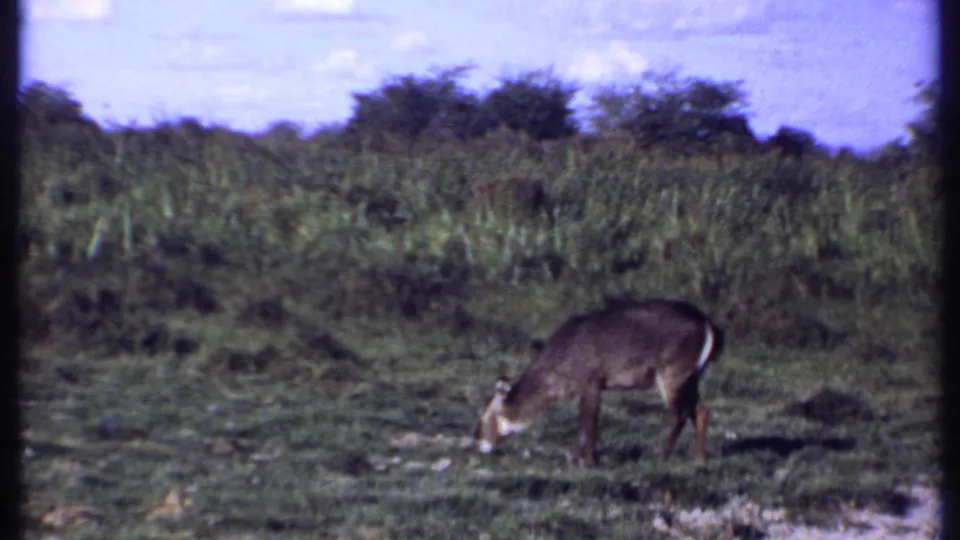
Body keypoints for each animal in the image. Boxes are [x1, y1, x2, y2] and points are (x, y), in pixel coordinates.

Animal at [474, 299, 725, 467]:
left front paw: (589, 461)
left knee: (681, 414)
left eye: (484, 415)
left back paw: (662, 455)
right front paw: (576, 457)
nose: (477, 442)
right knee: (701, 411)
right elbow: (585, 421)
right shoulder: (590, 387)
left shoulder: (591, 382)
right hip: (692, 378)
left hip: (671, 376)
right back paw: (699, 458)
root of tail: (706, 322)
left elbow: (590, 421)